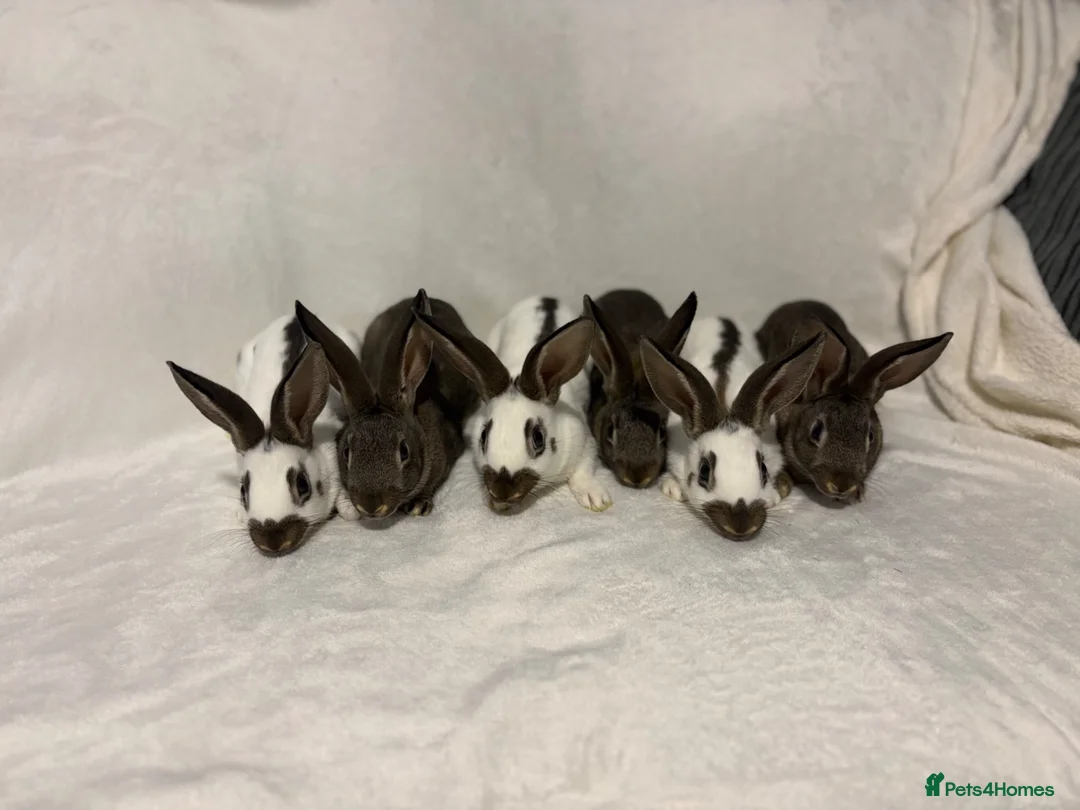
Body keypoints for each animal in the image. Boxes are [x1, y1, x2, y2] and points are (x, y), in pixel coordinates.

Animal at [166, 313, 361, 556]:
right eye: (243, 492)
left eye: (303, 485)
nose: (273, 543)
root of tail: (289, 316)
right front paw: (239, 514)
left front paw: (350, 509)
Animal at [408, 295, 612, 514]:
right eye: (483, 437)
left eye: (538, 438)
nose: (503, 492)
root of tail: (546, 298)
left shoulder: (584, 441)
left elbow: (583, 471)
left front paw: (596, 499)